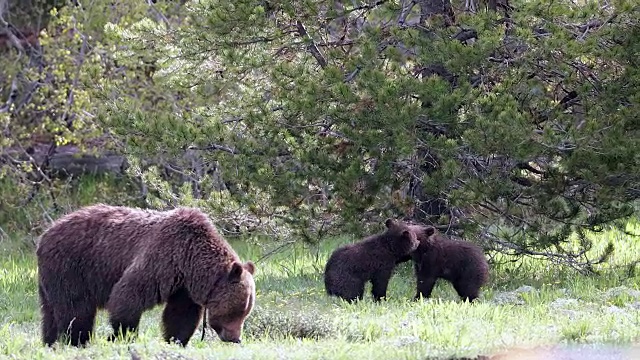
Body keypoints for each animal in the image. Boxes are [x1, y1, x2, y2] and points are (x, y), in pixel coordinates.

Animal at [36, 204, 256, 348]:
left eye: (245, 311)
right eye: (237, 311)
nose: (235, 338)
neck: (190, 261)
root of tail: (45, 234)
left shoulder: (183, 286)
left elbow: (181, 314)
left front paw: (176, 340)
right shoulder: (162, 259)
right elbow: (128, 295)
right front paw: (122, 335)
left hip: (50, 278)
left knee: (50, 312)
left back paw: (50, 341)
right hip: (71, 267)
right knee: (76, 308)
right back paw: (78, 340)